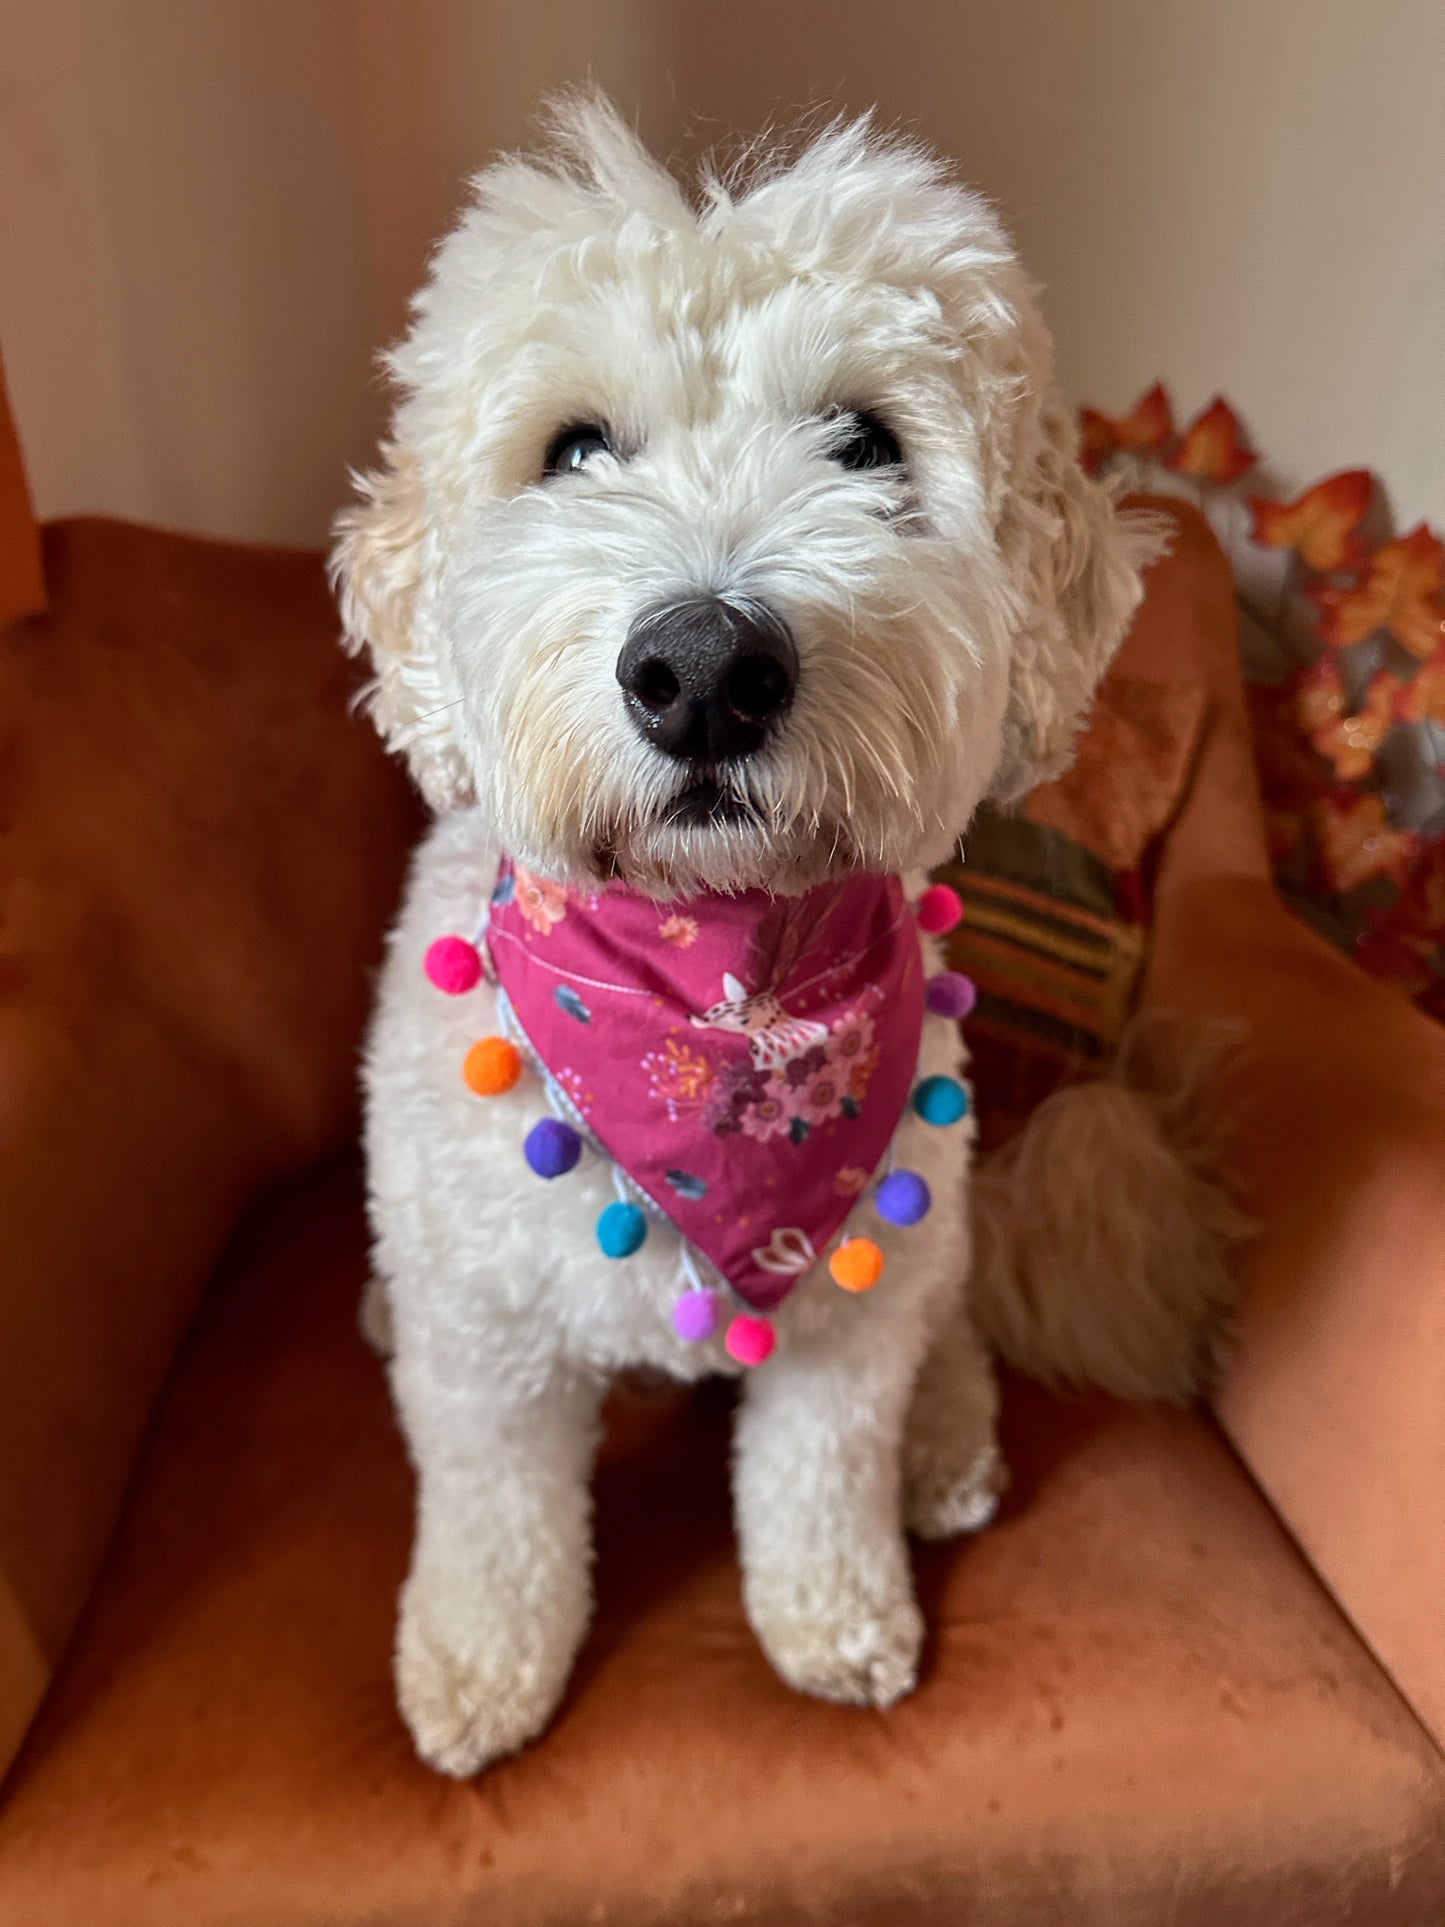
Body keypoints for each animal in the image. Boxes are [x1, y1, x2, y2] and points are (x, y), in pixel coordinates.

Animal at [331, 101, 1225, 1772]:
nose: (701, 667)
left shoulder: (841, 1333)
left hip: (930, 1225)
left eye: (867, 443)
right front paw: (481, 1665)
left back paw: (947, 1441)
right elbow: (496, 1522)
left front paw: (838, 1620)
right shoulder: (485, 1350)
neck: (717, 989)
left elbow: (819, 1481)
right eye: (574, 448)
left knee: (943, 1325)